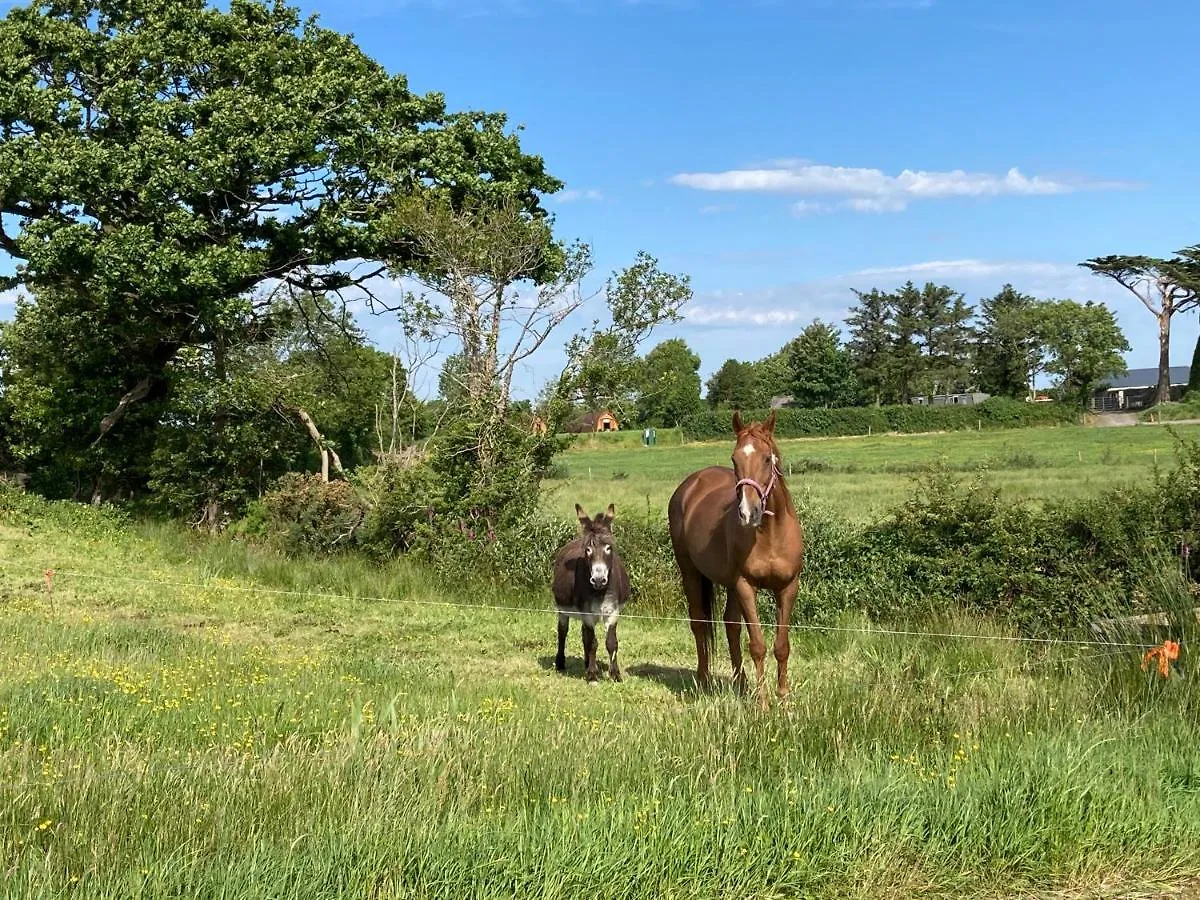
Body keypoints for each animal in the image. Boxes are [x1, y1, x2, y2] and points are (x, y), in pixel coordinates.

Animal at [667, 412, 806, 710]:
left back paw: (741, 685)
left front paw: (784, 700)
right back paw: (703, 680)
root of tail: (691, 484)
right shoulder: (746, 586)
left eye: (767, 459)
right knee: (699, 622)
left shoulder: (788, 587)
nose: (747, 513)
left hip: (730, 584)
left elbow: (781, 646)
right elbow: (757, 645)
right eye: (734, 459)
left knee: (731, 626)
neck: (770, 533)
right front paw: (763, 705)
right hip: (691, 572)